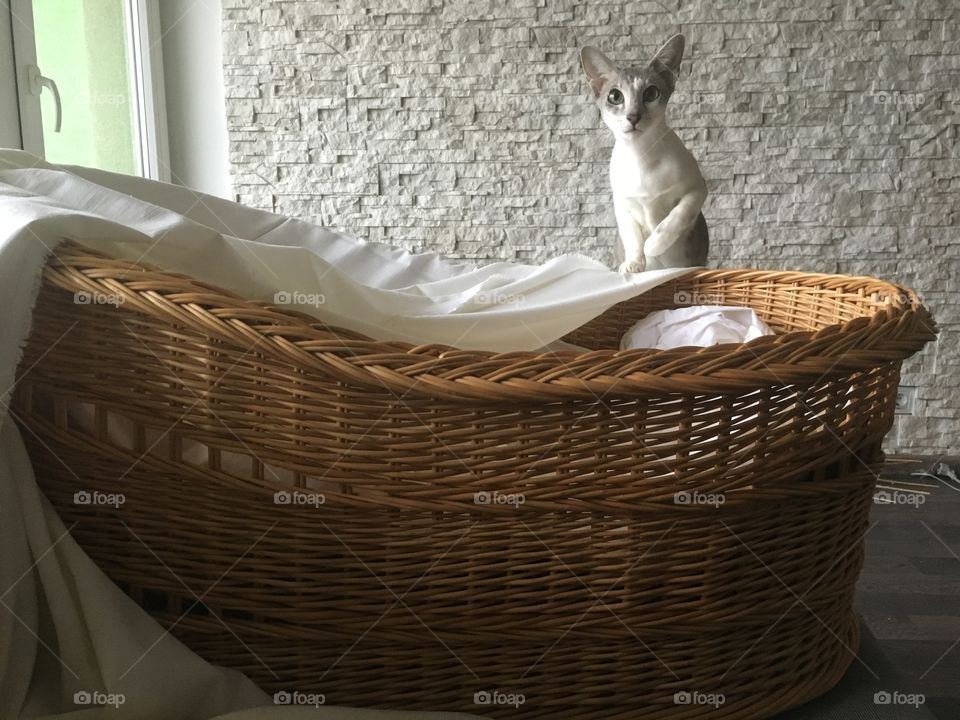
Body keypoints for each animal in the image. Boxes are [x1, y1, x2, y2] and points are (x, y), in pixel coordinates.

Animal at [580, 33, 708, 272]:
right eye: (615, 96)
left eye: (651, 93)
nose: (633, 116)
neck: (642, 155)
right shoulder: (622, 205)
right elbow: (632, 238)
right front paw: (634, 263)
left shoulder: (697, 189)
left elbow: (679, 215)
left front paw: (655, 244)